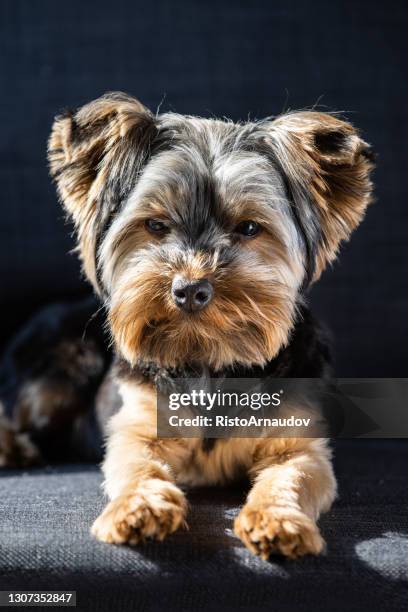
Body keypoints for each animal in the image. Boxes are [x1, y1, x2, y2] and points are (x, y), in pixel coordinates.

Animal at [0, 92, 372, 560]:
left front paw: (278, 521)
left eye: (249, 227)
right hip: (57, 376)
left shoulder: (298, 441)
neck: (208, 358)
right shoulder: (138, 425)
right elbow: (136, 465)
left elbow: (293, 475)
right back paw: (14, 448)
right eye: (156, 225)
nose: (190, 288)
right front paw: (138, 509)